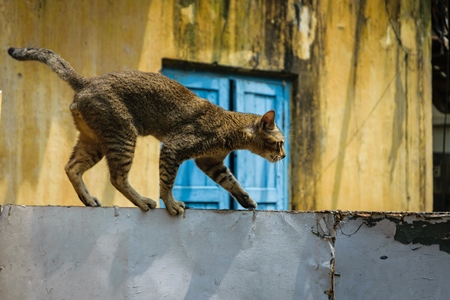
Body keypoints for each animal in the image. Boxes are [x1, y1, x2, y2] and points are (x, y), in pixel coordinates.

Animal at [8, 47, 286, 216]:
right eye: (280, 143)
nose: (284, 156)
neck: (230, 128)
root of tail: (86, 81)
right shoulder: (174, 148)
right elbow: (167, 182)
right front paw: (171, 204)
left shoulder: (210, 162)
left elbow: (231, 181)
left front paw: (247, 200)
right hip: (123, 135)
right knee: (117, 178)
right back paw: (142, 201)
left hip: (95, 140)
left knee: (72, 167)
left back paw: (88, 199)